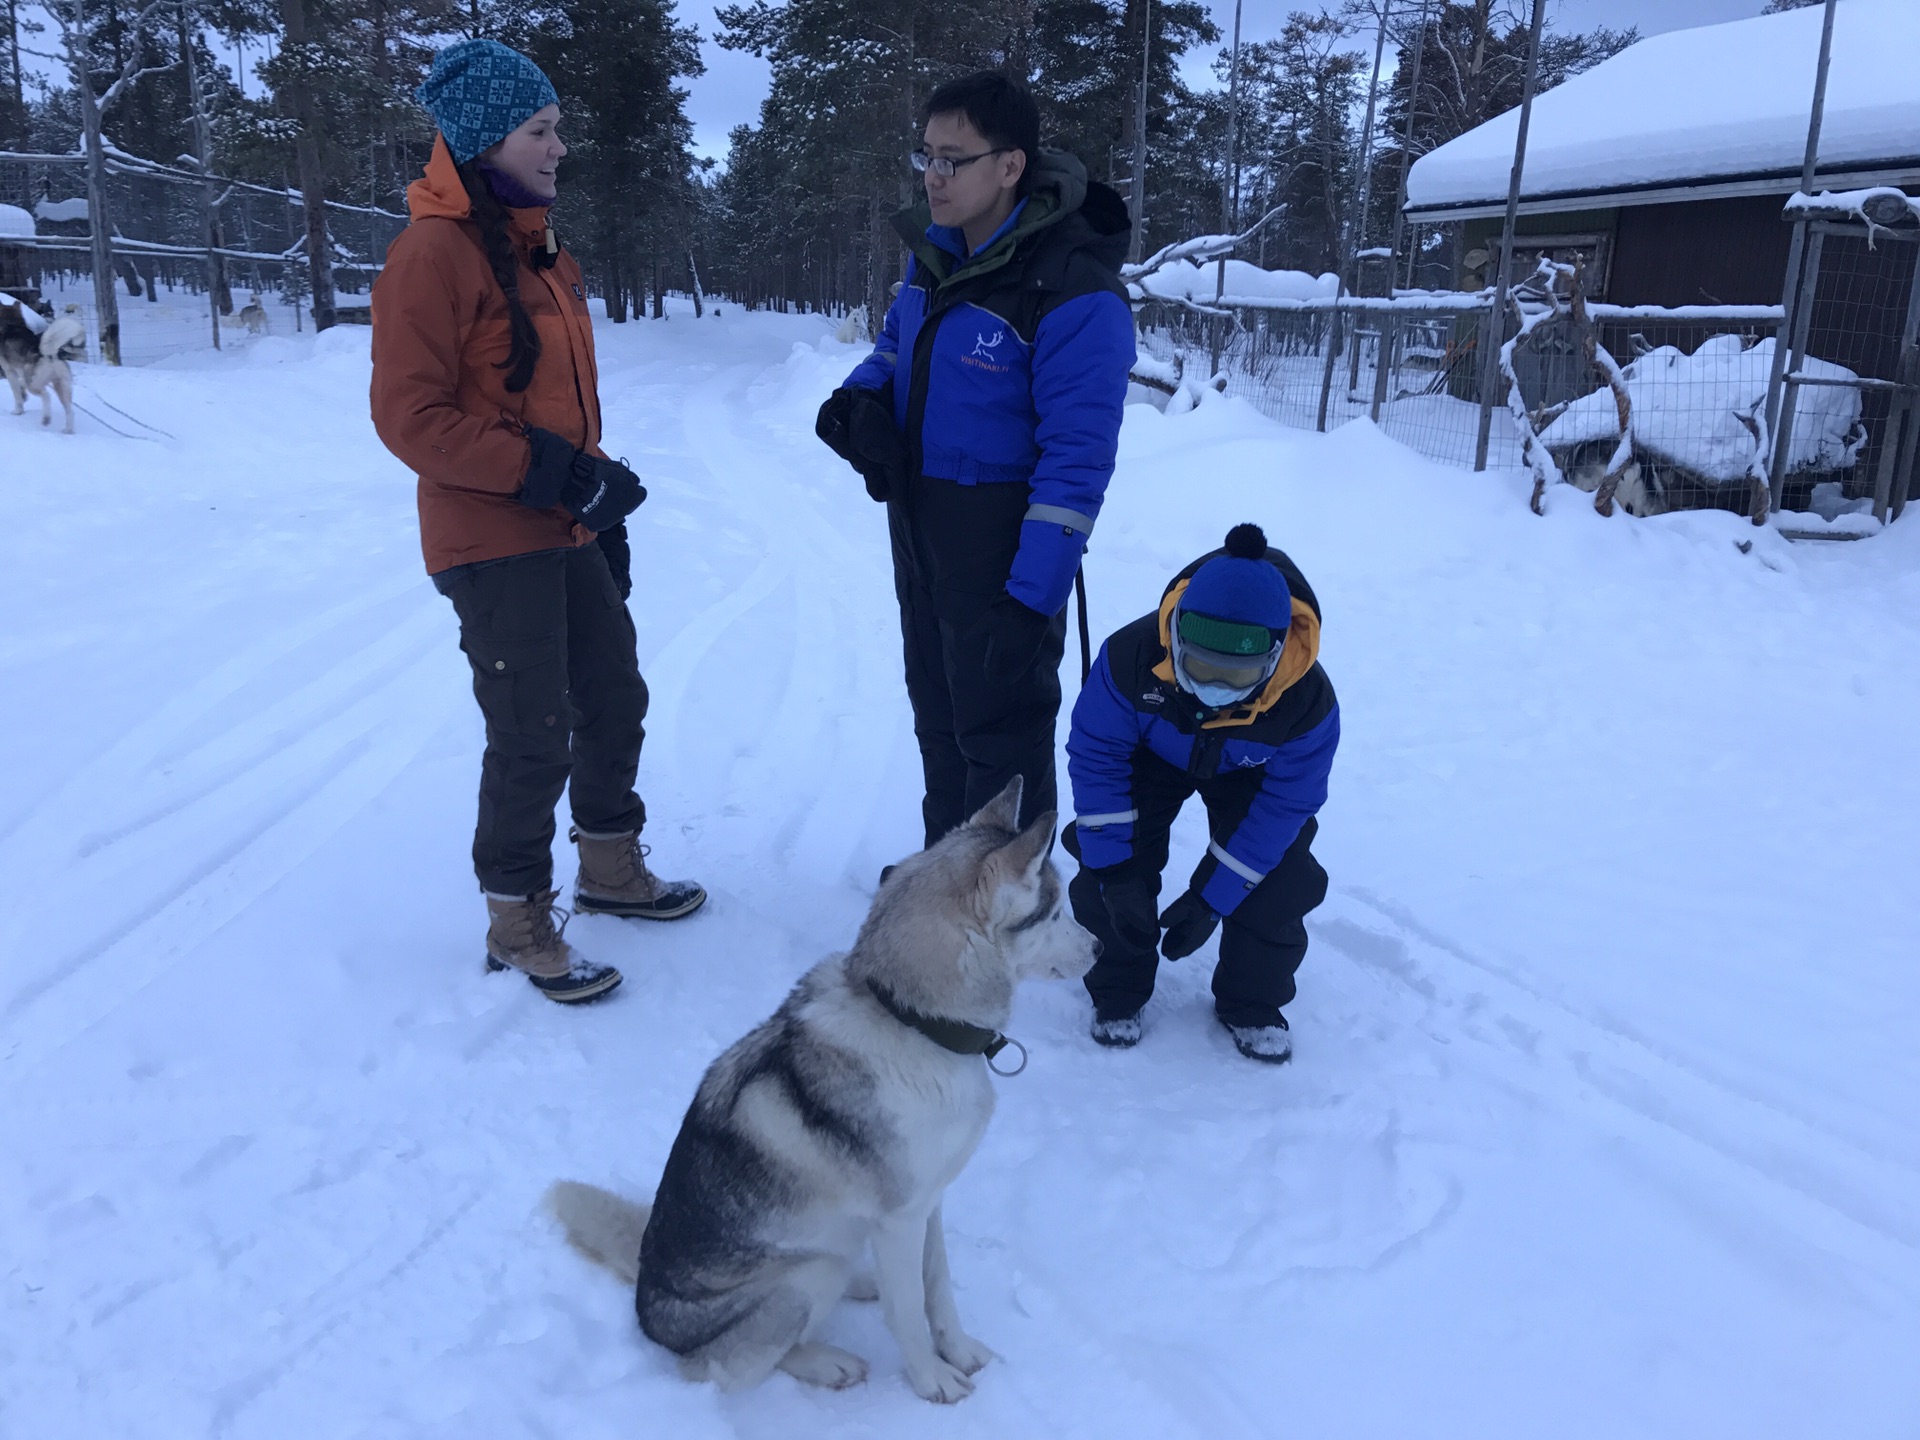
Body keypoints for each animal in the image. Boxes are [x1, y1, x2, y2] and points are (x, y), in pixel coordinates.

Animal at [549, 783, 1105, 1405]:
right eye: (1054, 913)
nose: (1101, 947)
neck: (911, 1021)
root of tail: (647, 1305)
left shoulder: (928, 1202)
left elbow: (937, 1290)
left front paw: (960, 1352)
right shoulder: (900, 1216)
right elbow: (909, 1312)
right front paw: (932, 1380)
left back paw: (863, 1283)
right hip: (803, 1277)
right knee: (719, 1369)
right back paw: (827, 1362)